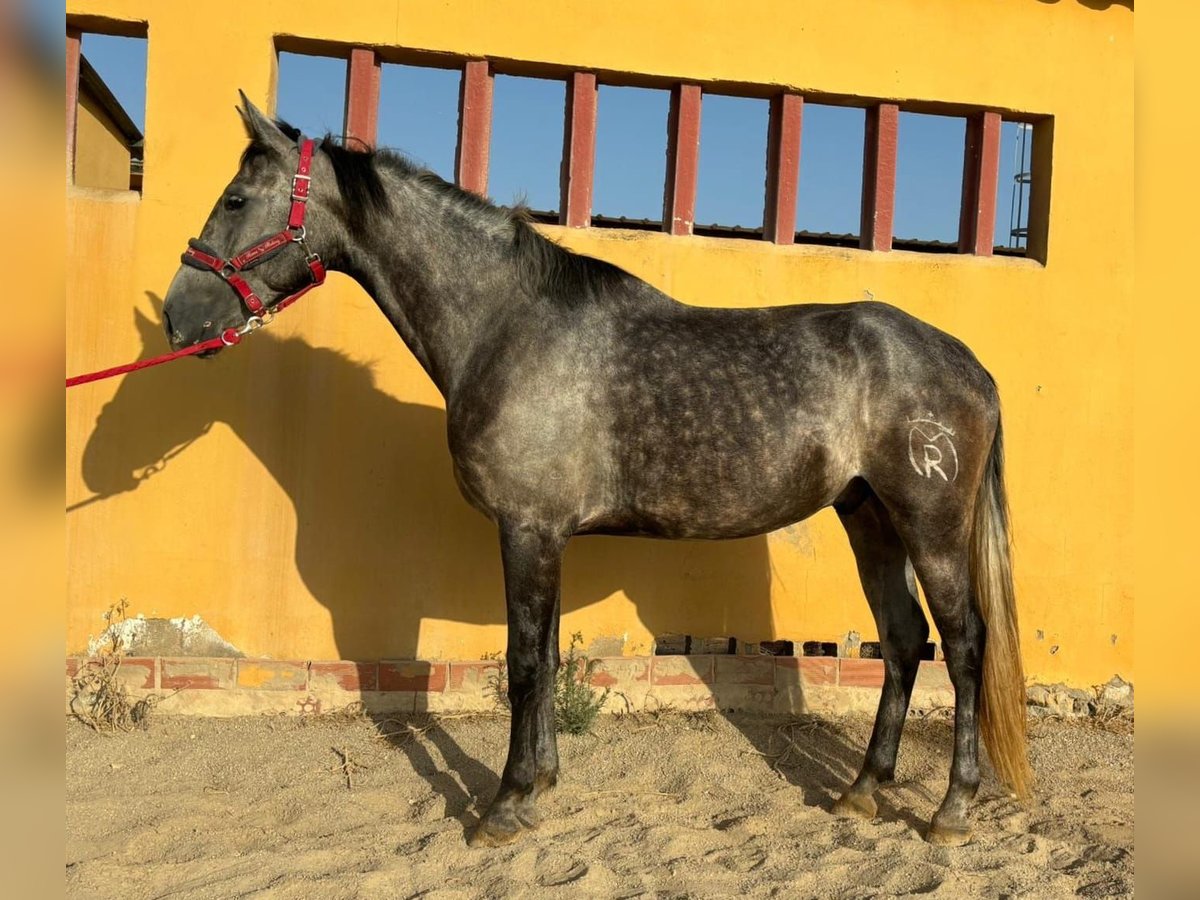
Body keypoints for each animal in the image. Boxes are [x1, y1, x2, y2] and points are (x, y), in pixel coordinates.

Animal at [162, 95, 1032, 849]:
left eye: (236, 199)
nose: (177, 316)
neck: (505, 326)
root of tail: (970, 364)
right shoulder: (547, 535)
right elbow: (545, 659)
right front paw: (540, 785)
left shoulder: (526, 530)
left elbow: (521, 665)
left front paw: (502, 806)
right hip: (868, 516)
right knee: (904, 639)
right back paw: (862, 790)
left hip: (929, 523)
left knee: (963, 644)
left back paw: (951, 809)